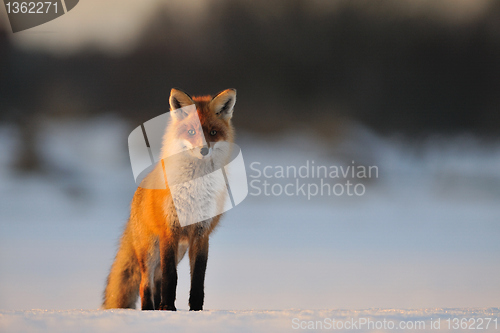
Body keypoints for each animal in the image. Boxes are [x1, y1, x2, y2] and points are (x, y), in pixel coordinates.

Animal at [102, 87, 237, 308]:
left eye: (213, 132)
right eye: (191, 132)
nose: (204, 150)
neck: (194, 189)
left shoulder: (201, 234)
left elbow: (198, 277)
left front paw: (195, 309)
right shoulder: (169, 230)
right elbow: (171, 276)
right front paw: (168, 308)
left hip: (179, 250)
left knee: (157, 281)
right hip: (150, 251)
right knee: (145, 284)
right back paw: (151, 310)